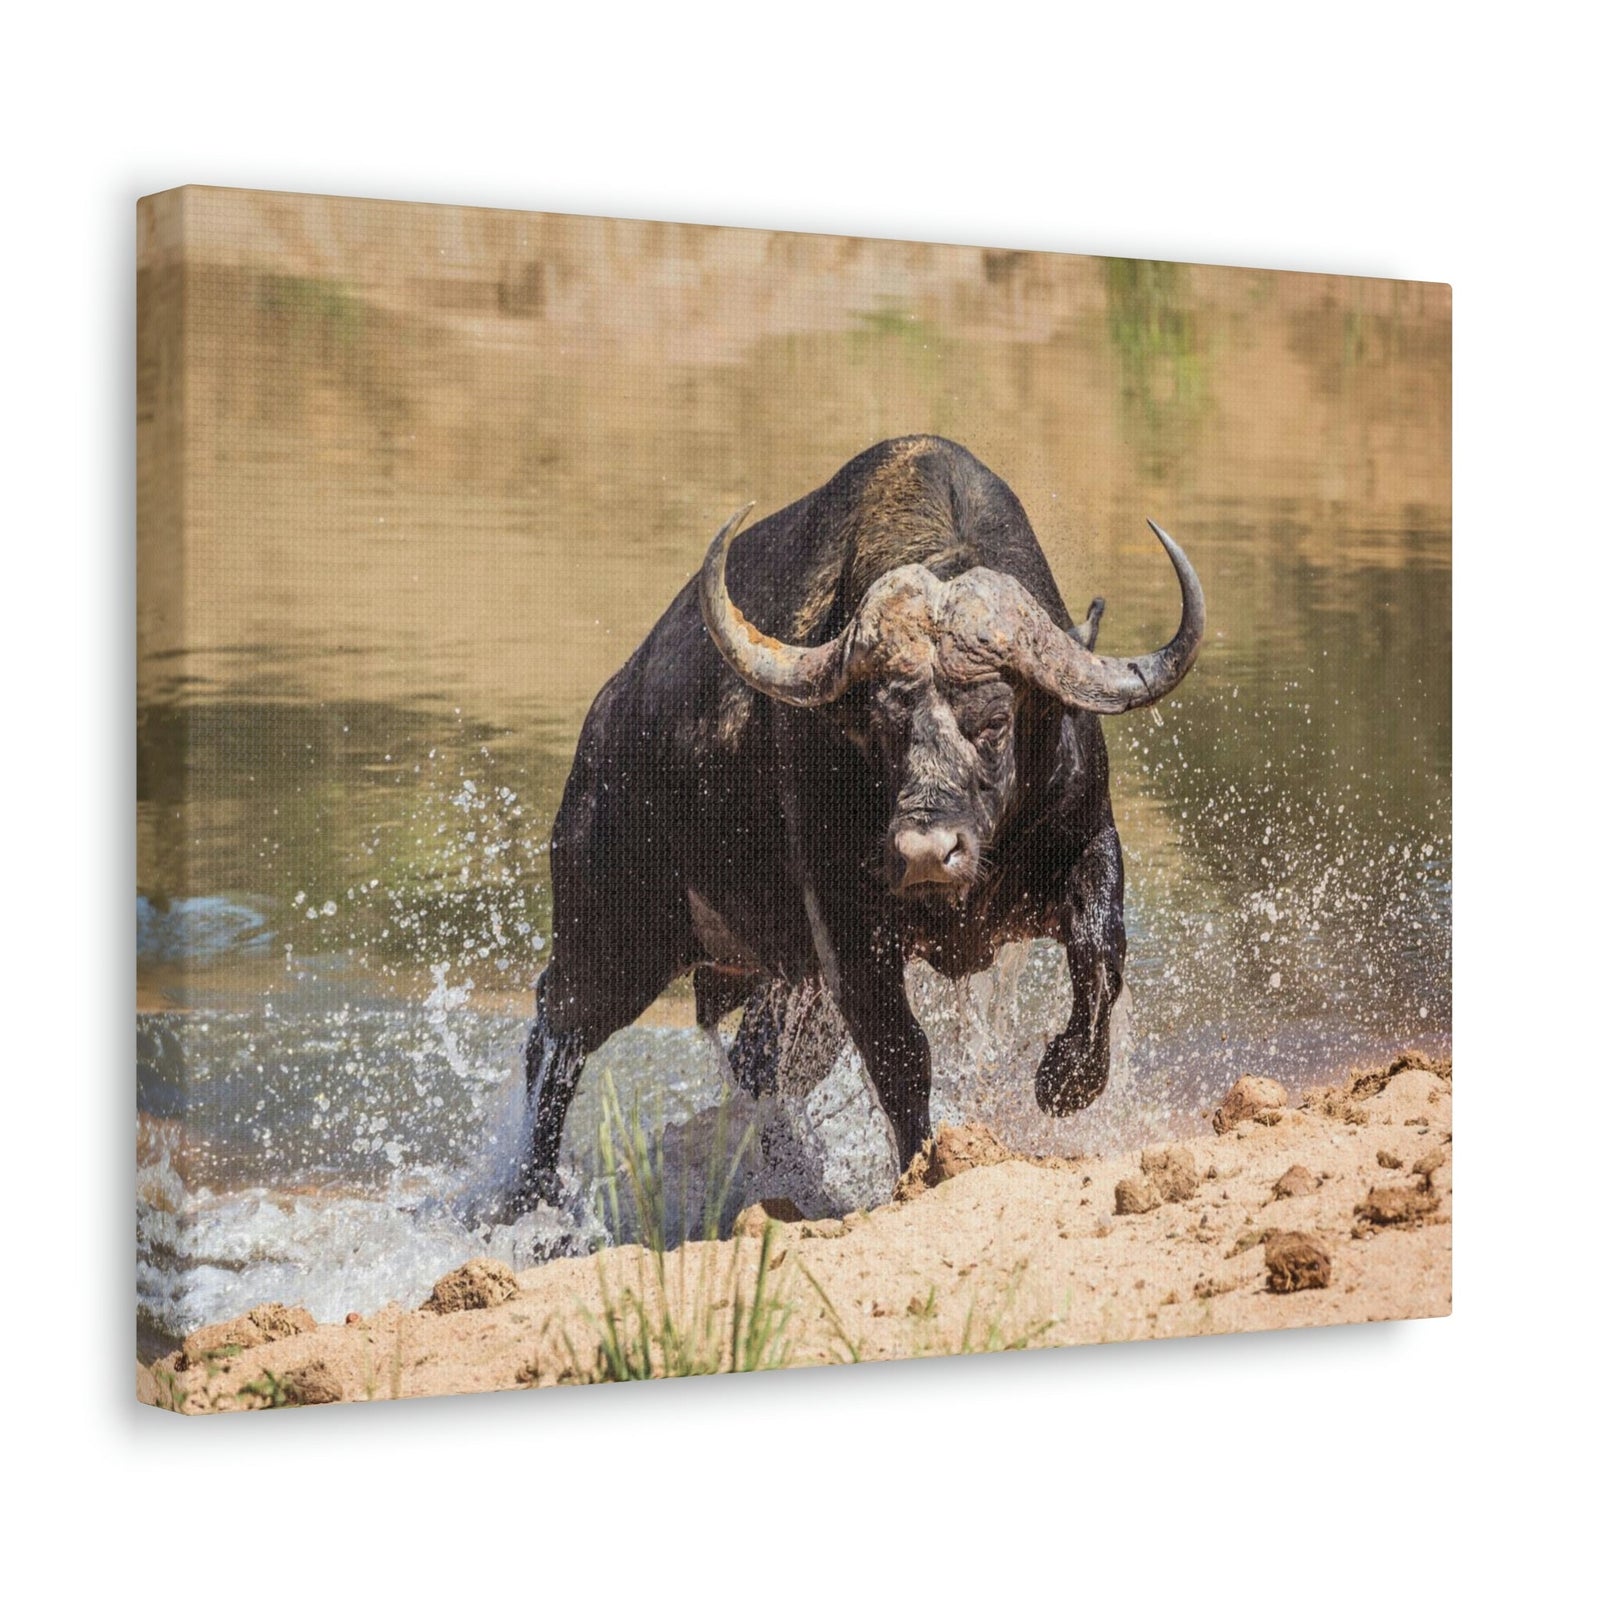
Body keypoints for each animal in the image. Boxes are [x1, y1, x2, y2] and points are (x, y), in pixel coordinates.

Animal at [511, 435, 1203, 1211]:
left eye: (995, 721)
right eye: (881, 726)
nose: (927, 852)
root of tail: (603, 724)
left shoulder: (1086, 842)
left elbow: (1100, 953)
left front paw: (1066, 1080)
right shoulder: (847, 927)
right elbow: (901, 1052)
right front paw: (923, 1166)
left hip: (782, 982)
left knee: (756, 1065)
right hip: (612, 936)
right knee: (556, 1037)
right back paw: (532, 1200)